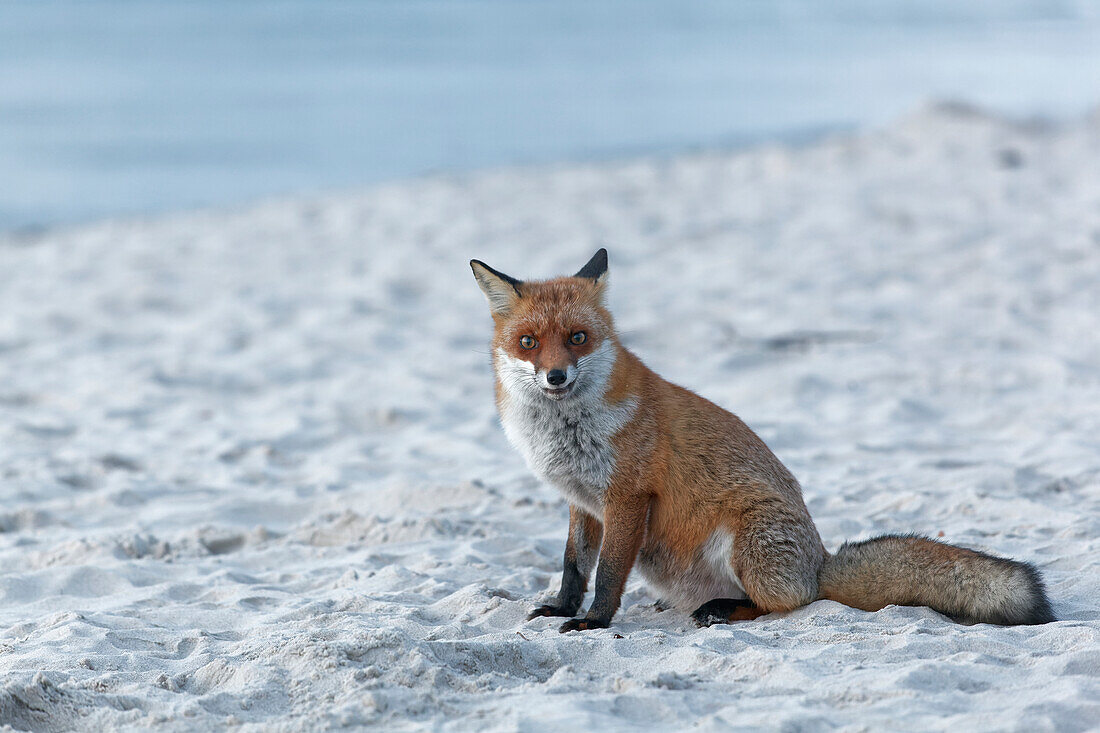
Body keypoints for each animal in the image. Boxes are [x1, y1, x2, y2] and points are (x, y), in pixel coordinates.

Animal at [468, 249, 1051, 629]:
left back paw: (725, 611)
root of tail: (819, 565)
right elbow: (574, 566)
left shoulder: (627, 497)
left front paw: (594, 623)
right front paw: (564, 608)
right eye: (528, 342)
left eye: (578, 338)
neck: (567, 434)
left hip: (746, 540)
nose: (555, 377)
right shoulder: (583, 502)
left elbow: (609, 571)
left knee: (786, 604)